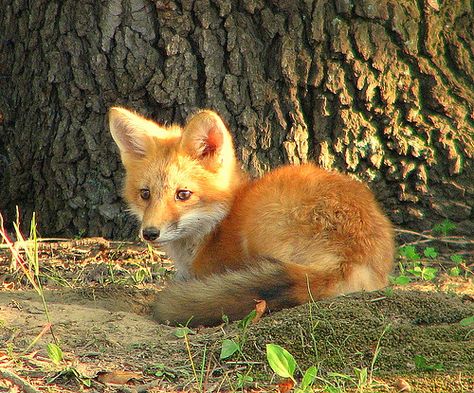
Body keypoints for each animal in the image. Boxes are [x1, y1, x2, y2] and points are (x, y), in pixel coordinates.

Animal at [109, 105, 394, 326]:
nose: (150, 233)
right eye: (145, 194)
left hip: (262, 222)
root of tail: (350, 257)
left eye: (183, 194)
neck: (217, 224)